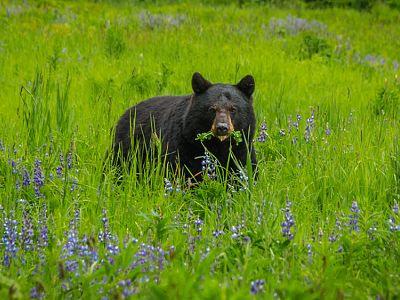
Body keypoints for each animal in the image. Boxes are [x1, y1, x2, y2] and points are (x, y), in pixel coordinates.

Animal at [111, 72, 256, 180]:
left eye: (233, 109)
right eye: (212, 109)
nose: (222, 127)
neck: (218, 146)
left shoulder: (242, 149)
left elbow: (245, 171)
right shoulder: (184, 145)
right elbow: (179, 171)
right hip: (126, 149)